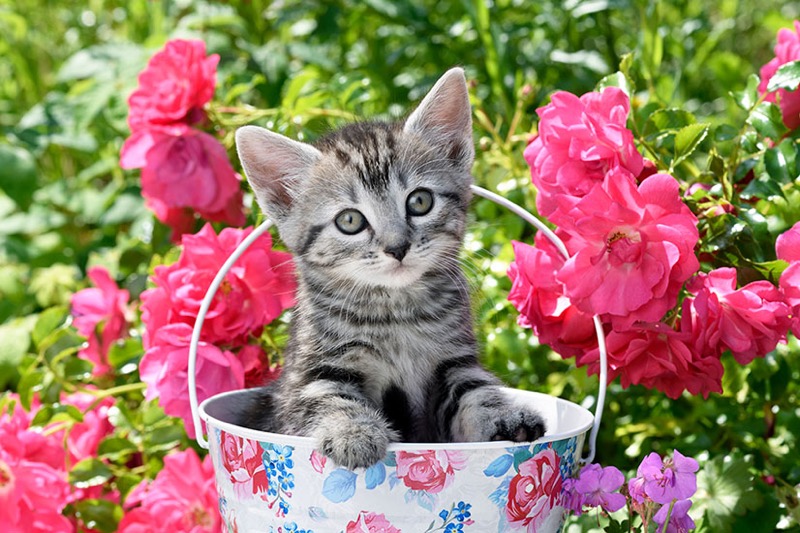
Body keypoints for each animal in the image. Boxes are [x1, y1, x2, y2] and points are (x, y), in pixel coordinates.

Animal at [231, 67, 544, 470]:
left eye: (420, 201)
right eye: (350, 221)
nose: (397, 247)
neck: (396, 313)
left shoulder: (455, 362)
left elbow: (477, 392)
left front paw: (504, 415)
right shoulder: (308, 378)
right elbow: (329, 397)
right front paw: (354, 432)